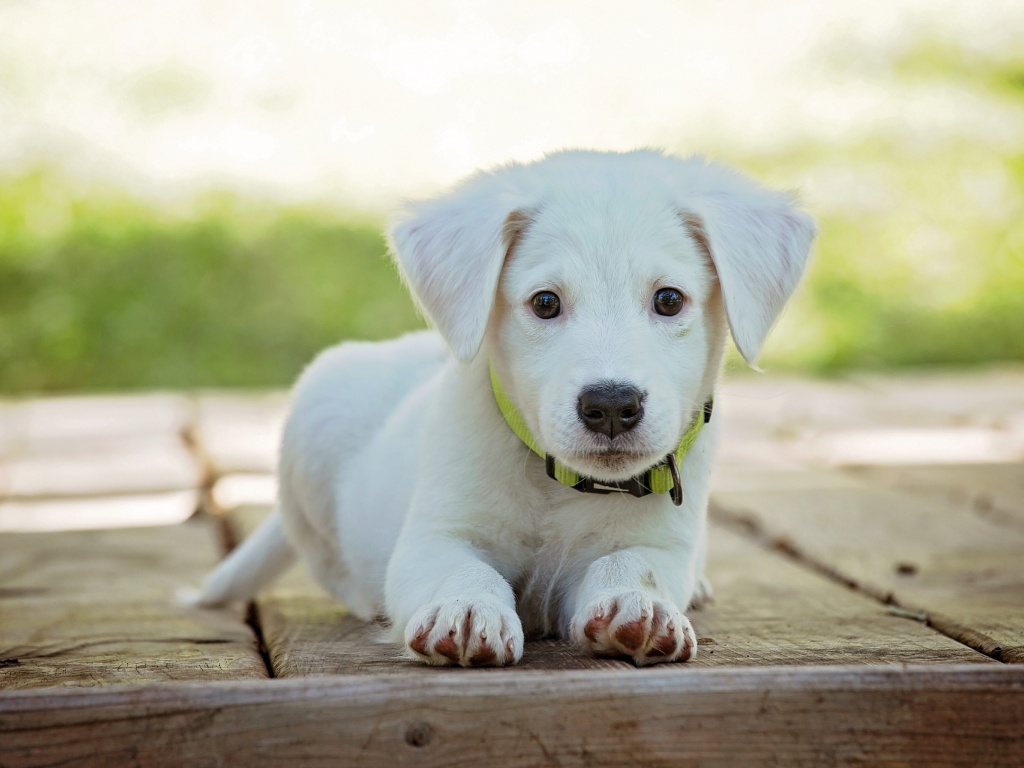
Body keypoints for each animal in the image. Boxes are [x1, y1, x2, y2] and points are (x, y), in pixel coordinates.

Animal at [195, 150, 811, 667]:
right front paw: (467, 610)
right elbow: (463, 569)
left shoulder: (662, 544)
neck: (558, 484)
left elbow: (631, 564)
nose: (612, 405)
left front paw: (639, 605)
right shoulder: (435, 536)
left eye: (668, 299)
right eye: (545, 303)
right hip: (315, 418)